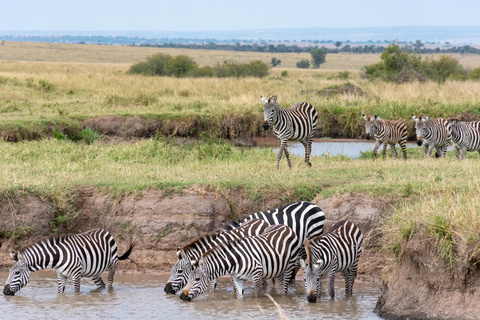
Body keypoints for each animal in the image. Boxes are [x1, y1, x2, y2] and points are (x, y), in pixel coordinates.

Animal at [3, 229, 135, 296]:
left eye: (17, 273)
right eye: (9, 272)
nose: (5, 292)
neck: (57, 258)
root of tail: (104, 230)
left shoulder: (76, 275)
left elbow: (76, 294)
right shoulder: (60, 275)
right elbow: (60, 293)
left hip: (112, 264)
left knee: (110, 282)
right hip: (94, 271)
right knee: (101, 285)